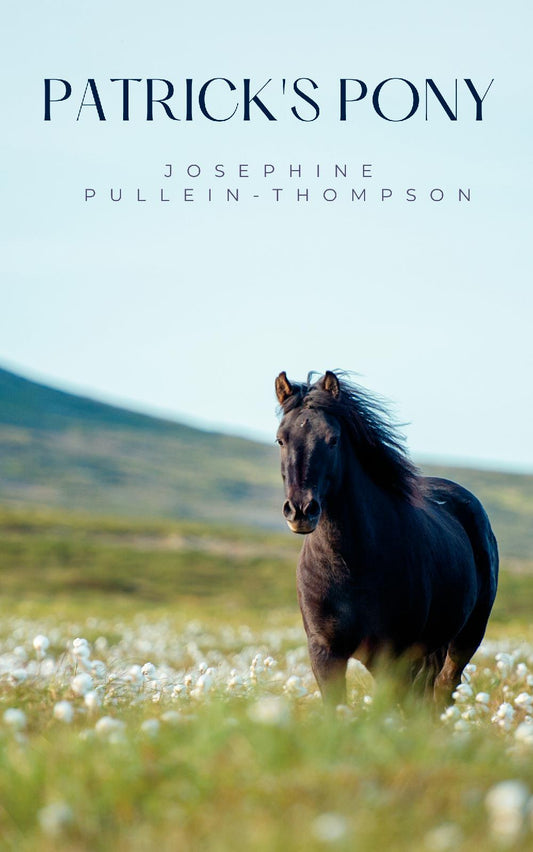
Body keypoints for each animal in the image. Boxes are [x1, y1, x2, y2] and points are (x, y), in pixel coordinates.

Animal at [275, 370, 498, 707]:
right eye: (280, 439)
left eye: (333, 439)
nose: (301, 510)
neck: (350, 564)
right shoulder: (325, 653)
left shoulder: (392, 656)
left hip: (465, 637)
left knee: (445, 687)